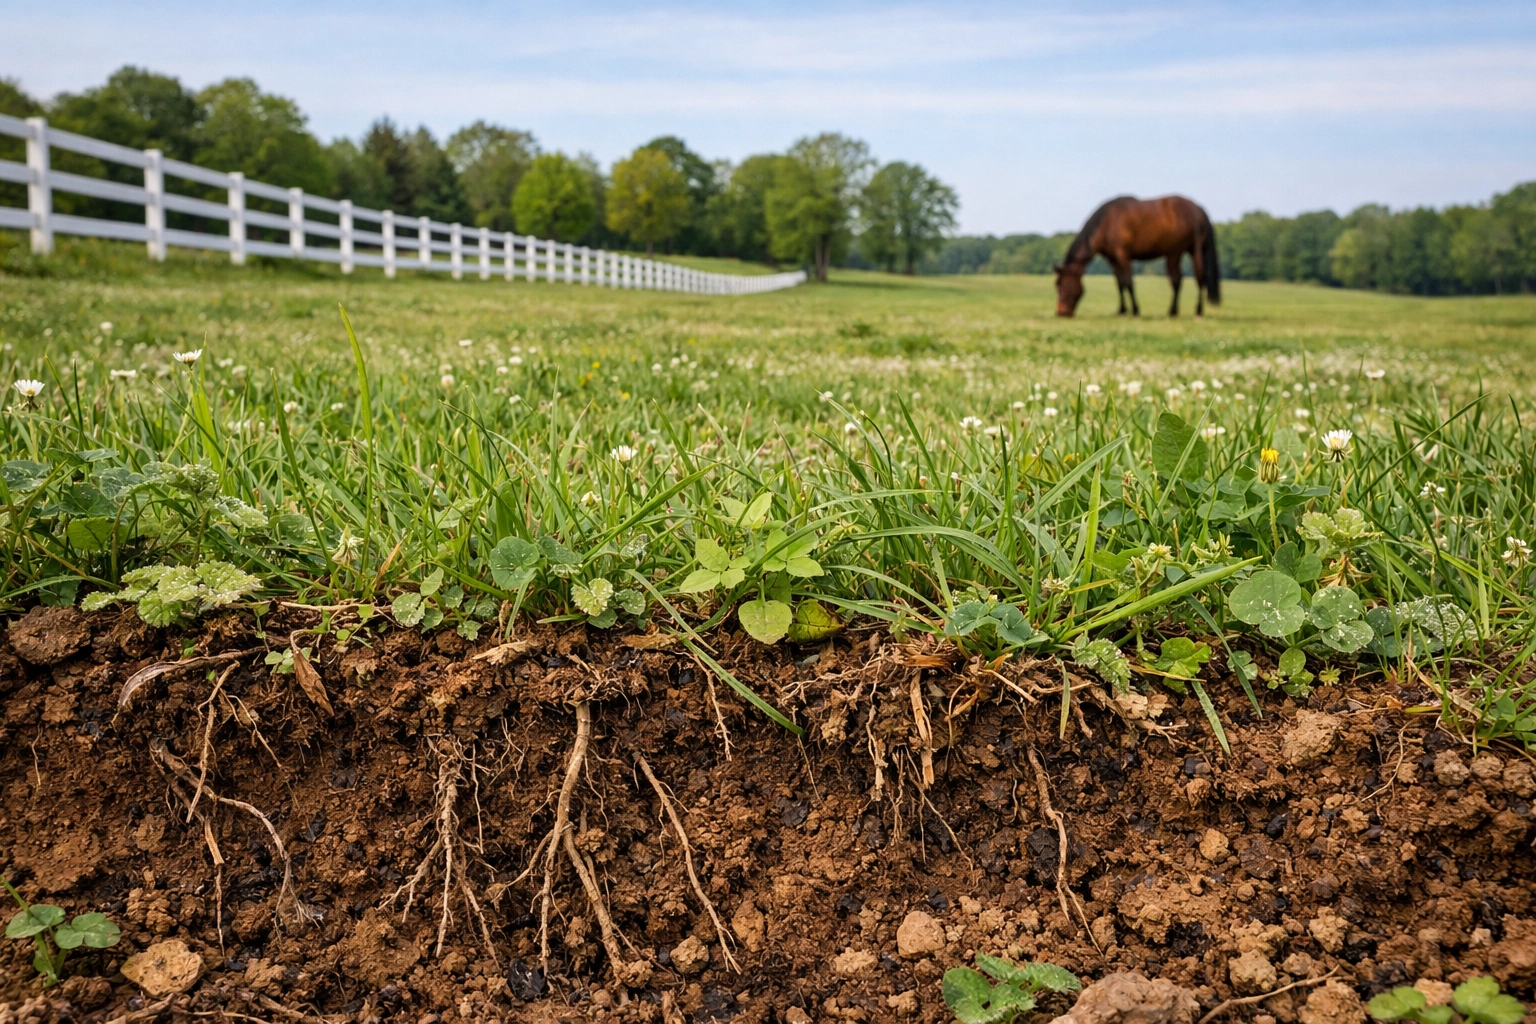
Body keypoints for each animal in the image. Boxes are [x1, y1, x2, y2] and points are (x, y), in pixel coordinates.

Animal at [1053, 195, 1221, 318]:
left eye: (1062, 285)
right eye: (1057, 285)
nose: (1061, 312)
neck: (1106, 223)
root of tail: (1198, 209)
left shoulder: (1122, 256)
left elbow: (1128, 282)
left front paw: (1135, 310)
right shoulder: (1113, 260)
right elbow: (1120, 284)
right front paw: (1121, 310)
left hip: (1180, 253)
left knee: (1190, 280)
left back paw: (1192, 311)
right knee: (1185, 281)